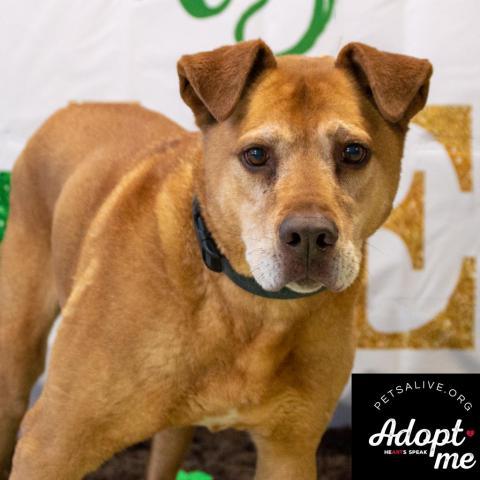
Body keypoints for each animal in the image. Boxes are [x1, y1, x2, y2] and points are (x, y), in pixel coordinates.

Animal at [0, 39, 434, 478]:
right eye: (256, 155)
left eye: (353, 152)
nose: (310, 236)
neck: (244, 304)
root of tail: (76, 106)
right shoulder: (51, 445)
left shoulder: (290, 450)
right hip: (15, 363)